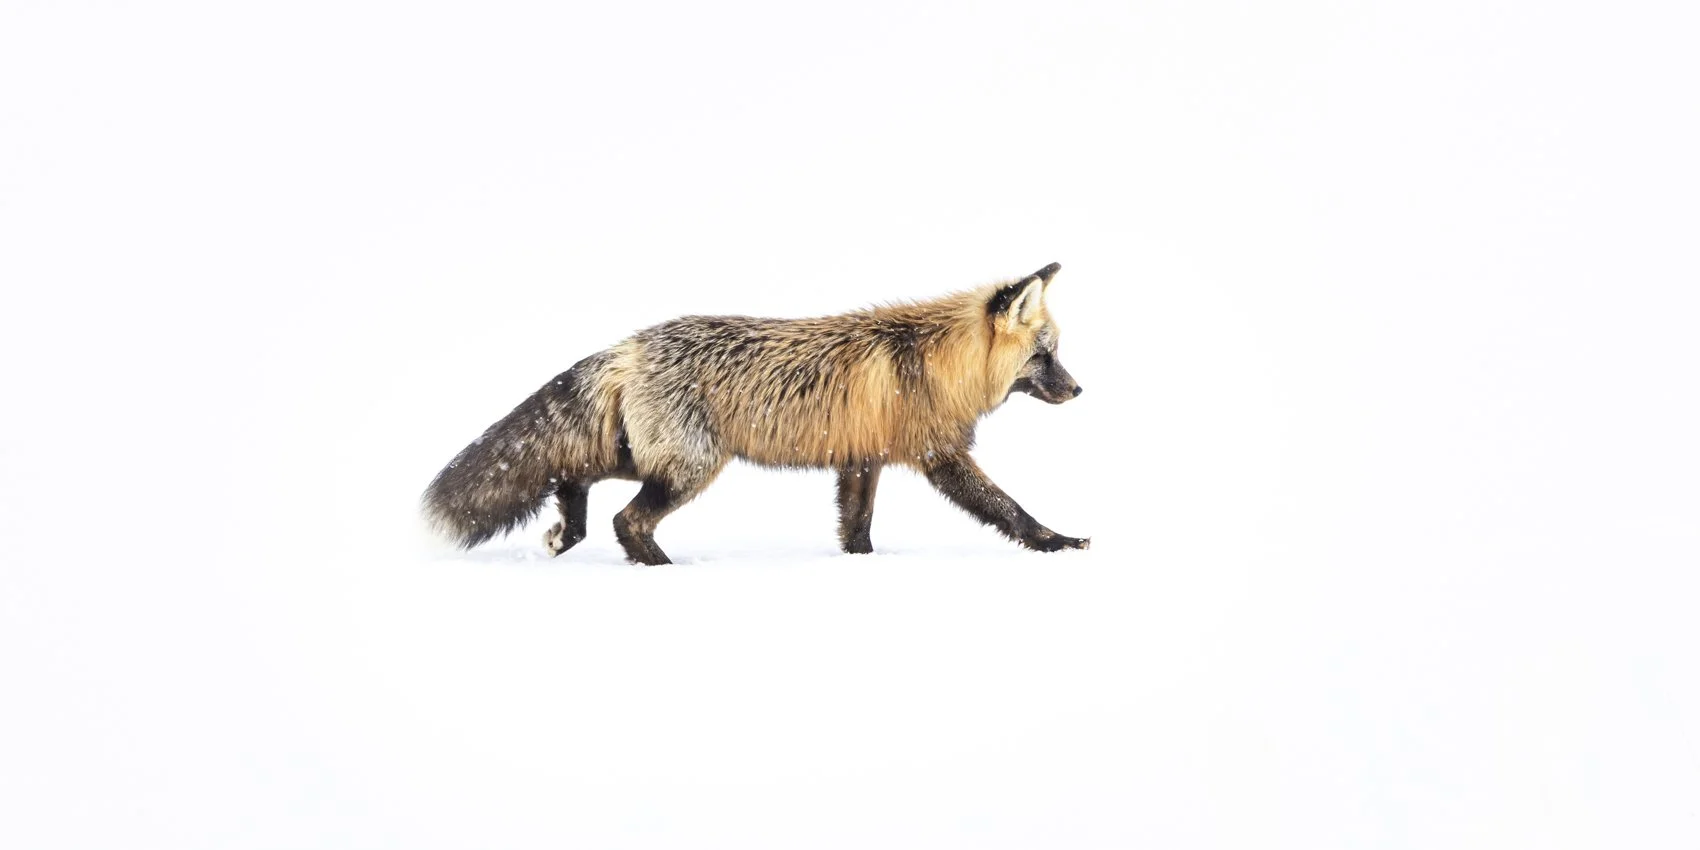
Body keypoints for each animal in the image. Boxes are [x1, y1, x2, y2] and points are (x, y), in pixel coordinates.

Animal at [422, 262, 1089, 564]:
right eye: (1046, 356)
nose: (1079, 391)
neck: (934, 360)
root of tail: (630, 345)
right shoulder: (938, 454)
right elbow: (1009, 509)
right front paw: (1060, 542)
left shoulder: (862, 458)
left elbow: (857, 528)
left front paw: (861, 569)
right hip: (692, 466)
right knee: (626, 520)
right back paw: (662, 570)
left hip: (649, 456)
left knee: (575, 476)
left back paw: (566, 530)